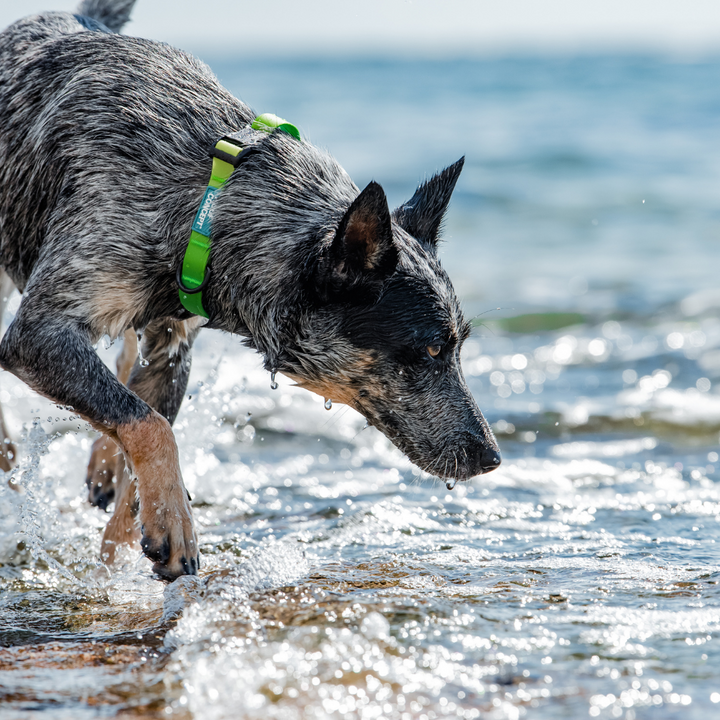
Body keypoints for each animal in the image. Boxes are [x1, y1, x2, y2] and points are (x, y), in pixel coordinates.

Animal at [0, 0, 500, 580]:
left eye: (459, 347)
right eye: (432, 350)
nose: (492, 456)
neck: (209, 196)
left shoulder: (172, 346)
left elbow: (142, 429)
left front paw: (124, 550)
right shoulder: (38, 335)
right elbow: (149, 425)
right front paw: (174, 524)